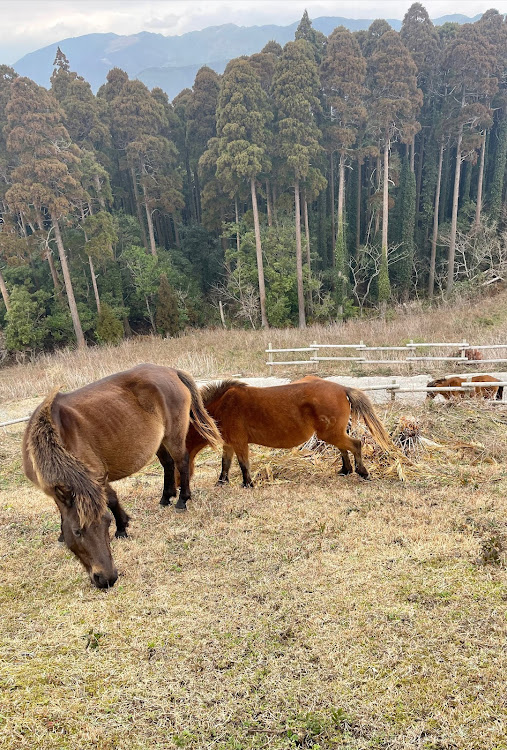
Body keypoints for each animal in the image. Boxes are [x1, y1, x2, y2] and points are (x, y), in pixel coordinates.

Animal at [23, 364, 222, 588]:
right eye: (76, 531)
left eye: (107, 523)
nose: (107, 579)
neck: (54, 435)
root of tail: (171, 371)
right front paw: (60, 535)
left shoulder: (96, 476)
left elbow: (111, 499)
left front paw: (122, 528)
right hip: (160, 440)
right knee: (168, 464)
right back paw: (165, 497)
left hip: (174, 436)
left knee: (182, 462)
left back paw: (182, 500)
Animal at [185, 376, 394, 488]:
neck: (223, 406)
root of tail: (342, 388)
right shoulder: (229, 444)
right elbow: (225, 464)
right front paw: (221, 482)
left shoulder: (239, 442)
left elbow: (243, 464)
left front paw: (247, 484)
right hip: (333, 433)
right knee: (344, 448)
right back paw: (345, 470)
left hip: (331, 434)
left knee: (355, 444)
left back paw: (362, 472)